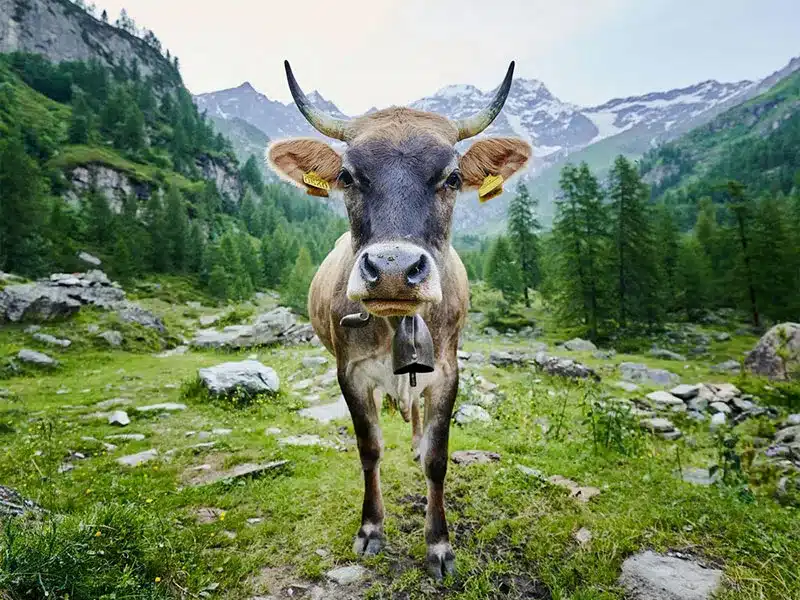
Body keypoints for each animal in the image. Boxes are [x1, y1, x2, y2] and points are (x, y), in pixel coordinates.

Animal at [266, 60, 531, 579]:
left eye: (452, 178)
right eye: (347, 176)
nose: (392, 268)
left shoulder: (447, 371)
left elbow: (437, 458)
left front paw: (439, 545)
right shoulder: (349, 372)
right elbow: (369, 449)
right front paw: (371, 529)